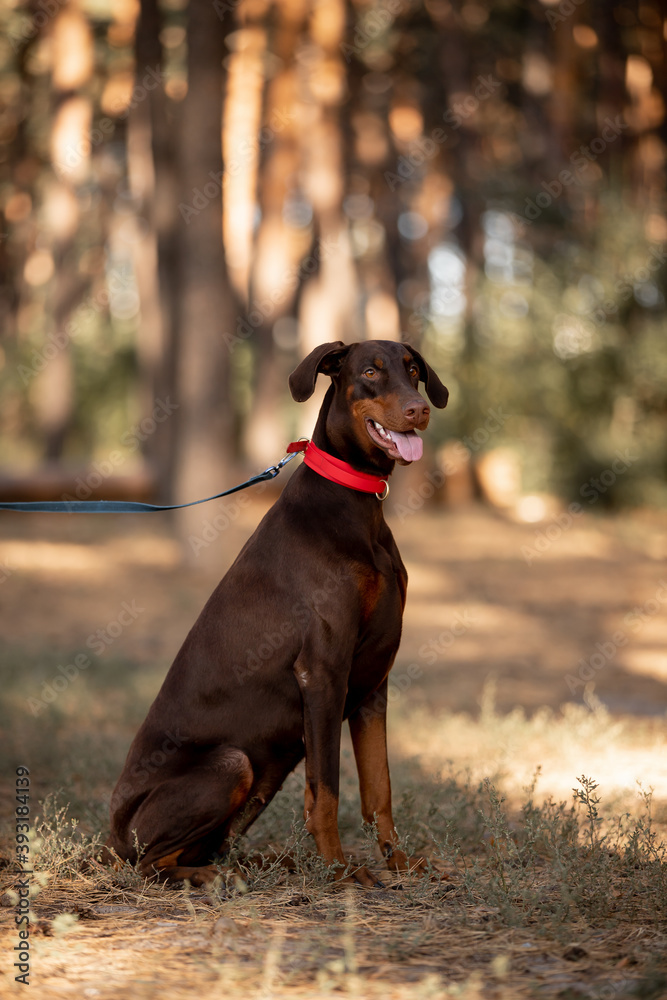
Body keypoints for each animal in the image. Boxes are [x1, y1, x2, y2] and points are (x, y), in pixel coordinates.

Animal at [105, 340, 448, 888]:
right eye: (371, 371)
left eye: (413, 369)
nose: (419, 410)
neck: (358, 506)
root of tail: (112, 837)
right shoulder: (323, 673)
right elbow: (325, 791)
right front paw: (339, 870)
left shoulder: (373, 683)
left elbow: (380, 788)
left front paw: (398, 862)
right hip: (232, 765)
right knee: (151, 865)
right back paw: (217, 878)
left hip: (262, 778)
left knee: (211, 847)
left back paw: (266, 864)